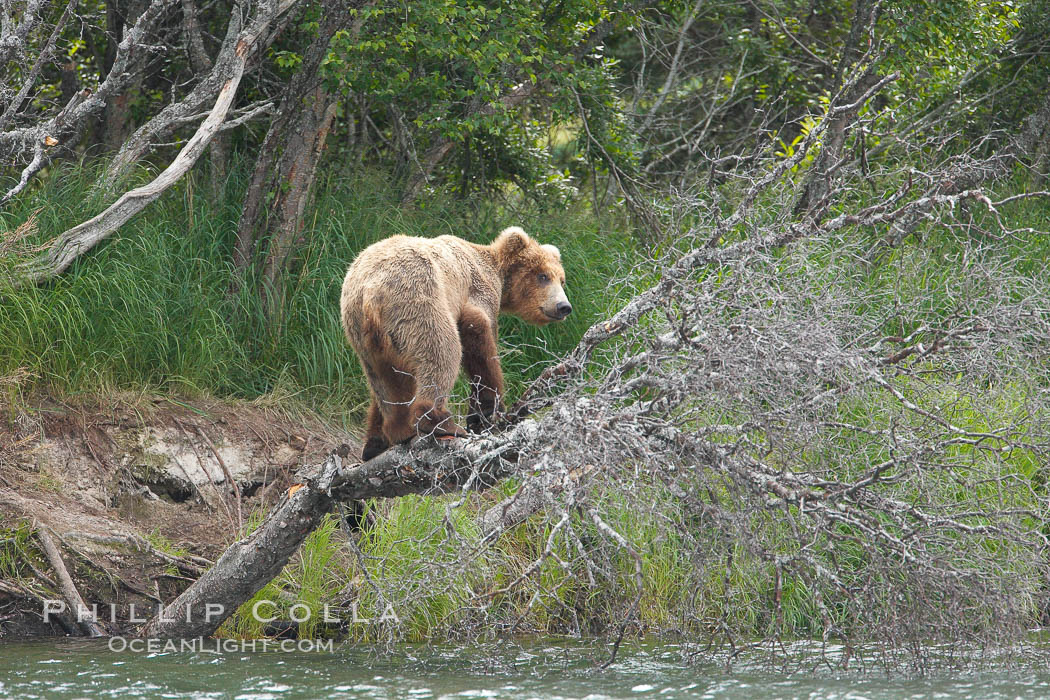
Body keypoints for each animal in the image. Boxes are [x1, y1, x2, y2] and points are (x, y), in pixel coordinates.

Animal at [342, 227, 575, 461]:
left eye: (562, 280)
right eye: (543, 276)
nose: (564, 306)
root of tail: (370, 292)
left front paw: (375, 440)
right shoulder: (478, 292)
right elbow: (479, 341)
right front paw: (486, 413)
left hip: (363, 337)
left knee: (384, 380)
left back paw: (397, 431)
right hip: (417, 300)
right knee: (443, 350)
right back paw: (440, 422)